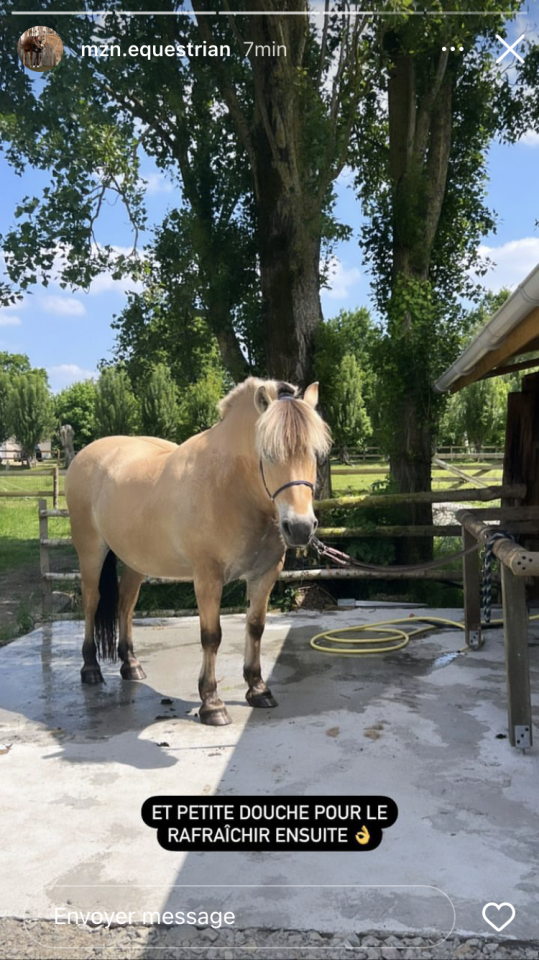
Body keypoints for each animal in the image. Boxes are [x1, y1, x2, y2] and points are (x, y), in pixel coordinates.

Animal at [65, 377, 331, 726]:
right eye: (268, 452)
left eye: (316, 453)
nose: (300, 527)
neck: (231, 485)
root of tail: (85, 456)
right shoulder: (207, 576)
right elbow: (211, 635)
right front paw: (212, 703)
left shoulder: (265, 574)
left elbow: (255, 627)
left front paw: (258, 689)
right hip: (91, 552)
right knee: (92, 601)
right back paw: (90, 668)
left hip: (136, 560)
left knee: (126, 603)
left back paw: (130, 664)